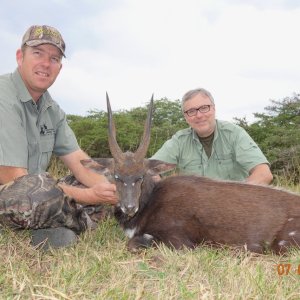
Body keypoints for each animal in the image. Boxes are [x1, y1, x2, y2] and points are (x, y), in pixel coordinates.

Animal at [82, 95, 300, 254]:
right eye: (116, 176)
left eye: (140, 177)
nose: (129, 207)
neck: (150, 203)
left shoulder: (180, 241)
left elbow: (134, 244)